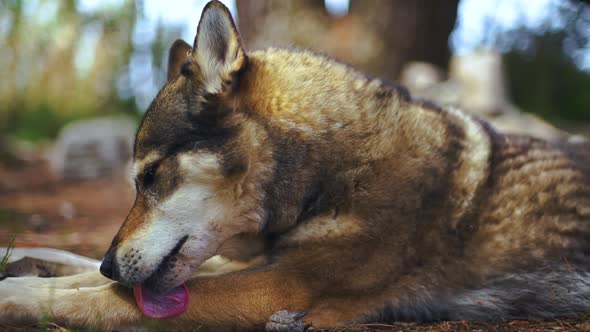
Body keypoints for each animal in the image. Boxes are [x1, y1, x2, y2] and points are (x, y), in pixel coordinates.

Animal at [1, 1, 590, 330]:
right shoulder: (258, 265)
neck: (337, 172)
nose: (108, 261)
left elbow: (109, 299)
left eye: (150, 177)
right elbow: (92, 281)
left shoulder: (279, 288)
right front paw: (32, 266)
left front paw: (19, 296)